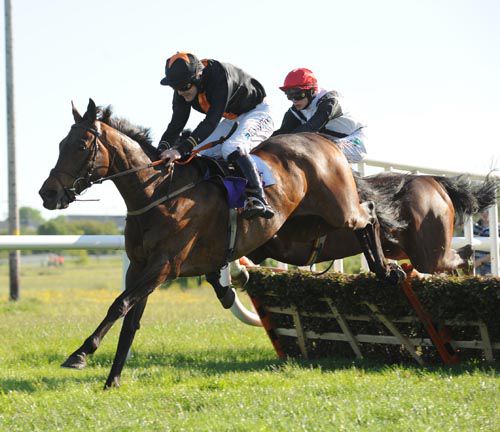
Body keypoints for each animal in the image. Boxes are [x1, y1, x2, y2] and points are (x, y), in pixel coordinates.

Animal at [38, 100, 402, 388]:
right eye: (60, 144)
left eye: (80, 147)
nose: (48, 193)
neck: (158, 192)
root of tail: (323, 140)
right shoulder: (140, 267)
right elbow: (130, 318)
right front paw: (112, 378)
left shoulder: (164, 266)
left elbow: (119, 304)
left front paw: (80, 353)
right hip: (299, 234)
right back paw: (385, 269)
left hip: (339, 209)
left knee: (369, 213)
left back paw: (387, 269)